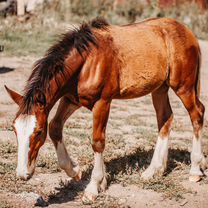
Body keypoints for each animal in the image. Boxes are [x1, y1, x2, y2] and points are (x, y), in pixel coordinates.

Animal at [4, 17, 206, 203]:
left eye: (38, 132)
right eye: (14, 129)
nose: (22, 174)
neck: (88, 61)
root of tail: (188, 32)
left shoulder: (102, 103)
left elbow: (97, 141)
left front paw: (93, 187)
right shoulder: (70, 100)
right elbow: (55, 127)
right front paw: (75, 171)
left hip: (183, 87)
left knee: (197, 114)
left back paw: (195, 170)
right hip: (159, 89)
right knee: (165, 119)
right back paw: (153, 171)